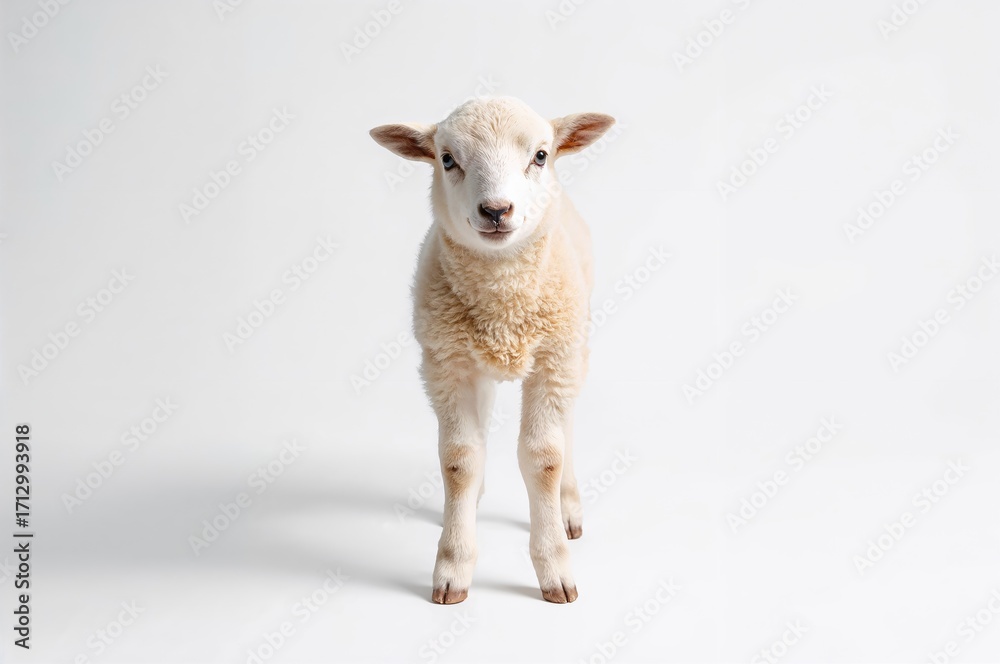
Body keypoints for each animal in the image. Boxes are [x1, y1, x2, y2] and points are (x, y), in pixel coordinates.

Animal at [370, 97, 615, 604]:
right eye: (447, 159)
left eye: (540, 155)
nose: (496, 210)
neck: (504, 305)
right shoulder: (446, 365)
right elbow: (459, 460)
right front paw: (453, 567)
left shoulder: (553, 360)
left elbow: (544, 458)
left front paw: (555, 566)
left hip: (572, 347)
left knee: (566, 426)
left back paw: (568, 506)